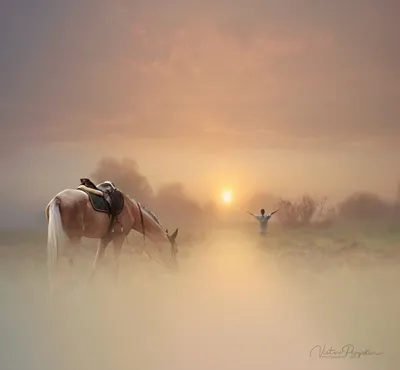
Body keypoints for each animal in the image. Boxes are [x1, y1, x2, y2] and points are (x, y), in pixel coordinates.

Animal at [43, 178, 178, 290]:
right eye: (175, 250)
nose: (175, 269)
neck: (131, 209)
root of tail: (58, 199)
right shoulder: (119, 238)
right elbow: (116, 263)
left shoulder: (105, 239)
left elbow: (96, 263)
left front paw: (88, 286)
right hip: (74, 238)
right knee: (69, 260)